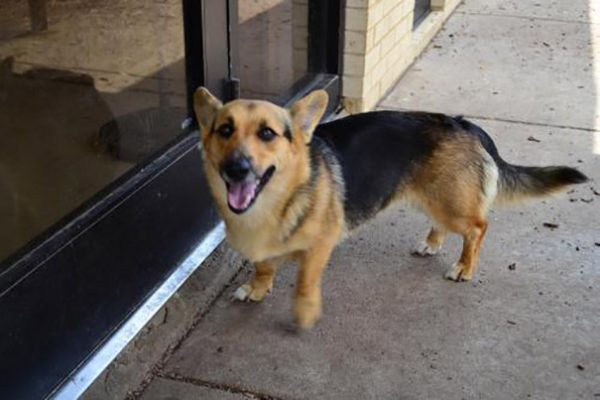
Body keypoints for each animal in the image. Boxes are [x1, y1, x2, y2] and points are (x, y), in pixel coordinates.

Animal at [195, 87, 588, 328]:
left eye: (267, 134)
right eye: (224, 130)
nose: (236, 169)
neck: (275, 200)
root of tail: (464, 123)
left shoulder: (321, 245)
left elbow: (305, 282)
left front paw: (304, 311)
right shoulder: (264, 251)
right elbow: (263, 268)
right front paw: (258, 289)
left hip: (450, 205)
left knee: (478, 228)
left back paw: (464, 267)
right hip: (433, 197)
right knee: (445, 225)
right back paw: (431, 243)